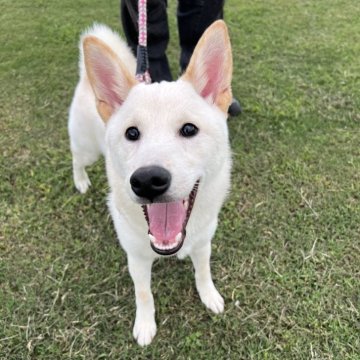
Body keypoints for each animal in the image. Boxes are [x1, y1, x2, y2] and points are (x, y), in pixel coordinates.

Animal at [69, 19, 233, 346]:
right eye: (132, 133)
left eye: (189, 129)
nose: (147, 181)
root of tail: (86, 83)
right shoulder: (137, 259)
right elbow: (143, 294)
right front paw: (145, 325)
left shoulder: (203, 243)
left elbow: (203, 272)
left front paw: (209, 296)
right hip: (87, 149)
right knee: (76, 159)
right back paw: (80, 181)